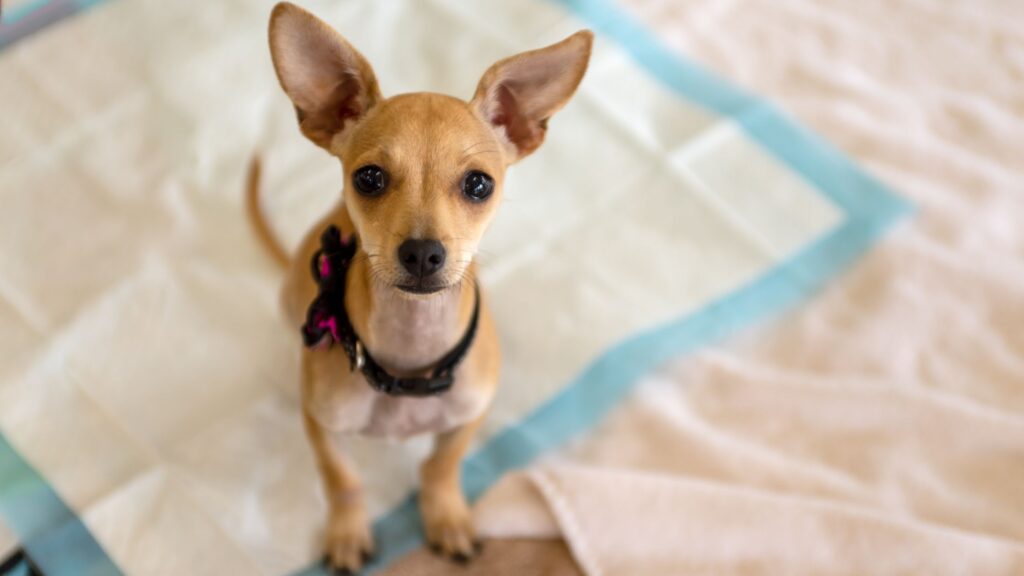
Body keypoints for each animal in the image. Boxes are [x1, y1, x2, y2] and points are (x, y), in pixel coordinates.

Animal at [245, 3, 593, 569]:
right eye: (368, 178)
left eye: (479, 184)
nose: (423, 253)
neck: (409, 355)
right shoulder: (322, 426)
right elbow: (342, 480)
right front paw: (347, 533)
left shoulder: (468, 414)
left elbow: (439, 468)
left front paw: (446, 516)